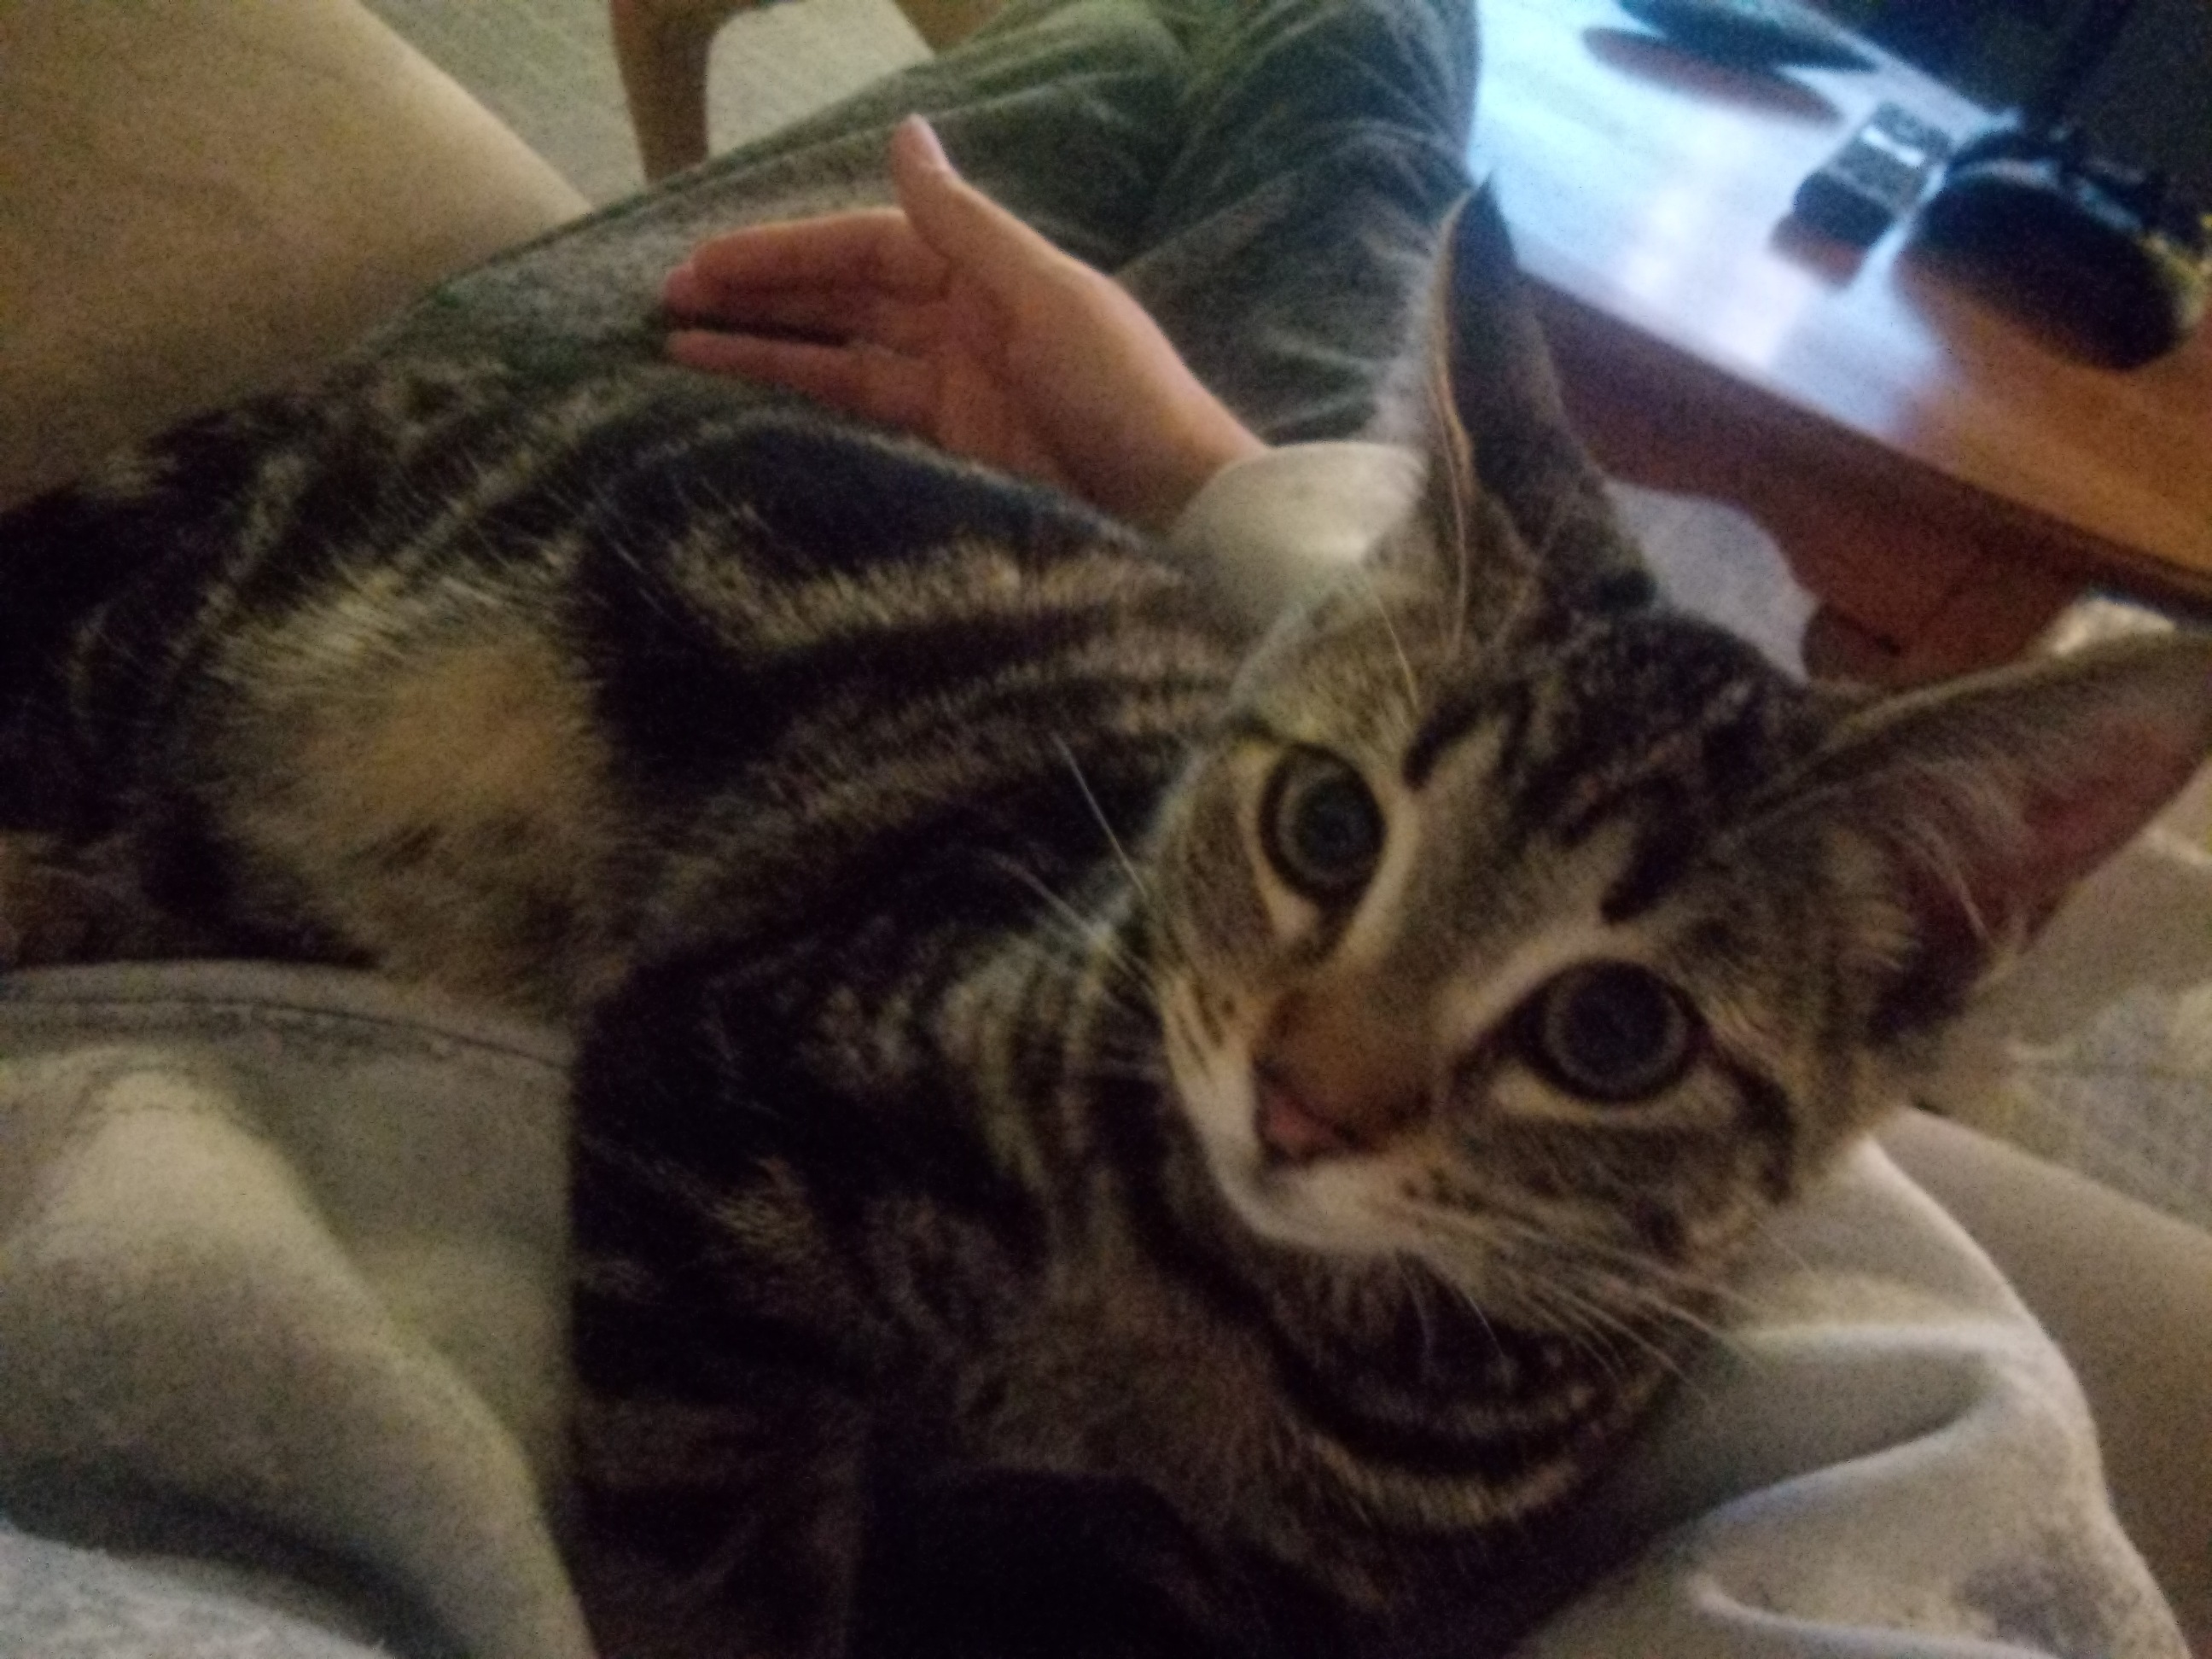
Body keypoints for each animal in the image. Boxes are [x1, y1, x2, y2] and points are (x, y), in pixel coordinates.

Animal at [2, 191, 2208, 1659]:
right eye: (1329, 825)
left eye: (1612, 1035)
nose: (1304, 1104)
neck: (1218, 1298)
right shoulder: (713, 1069)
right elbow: (706, 1526)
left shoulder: (1223, 1588)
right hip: (198, 654)